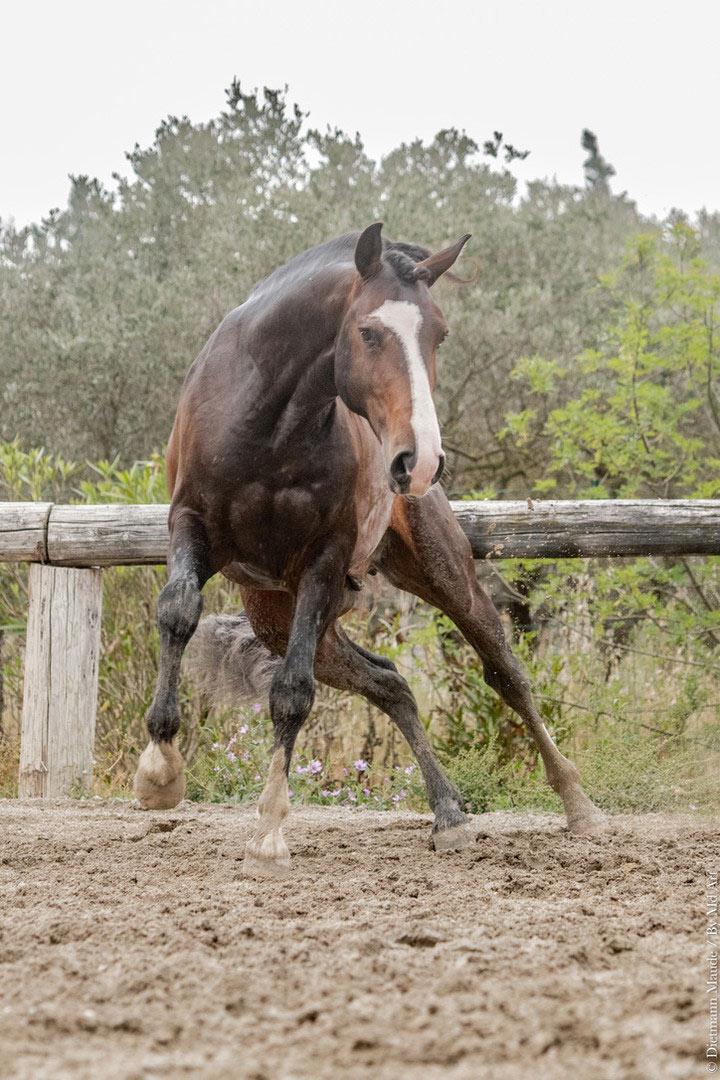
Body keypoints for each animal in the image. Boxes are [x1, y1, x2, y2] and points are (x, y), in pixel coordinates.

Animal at [133, 222, 605, 876]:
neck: (268, 425)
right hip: (282, 616)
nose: (420, 460)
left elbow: (292, 693)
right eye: (369, 332)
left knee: (504, 672)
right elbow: (178, 612)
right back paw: (449, 815)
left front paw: (269, 833)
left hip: (439, 577)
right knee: (390, 683)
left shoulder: (323, 560)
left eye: (439, 333)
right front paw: (160, 770)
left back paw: (576, 801)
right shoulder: (190, 527)